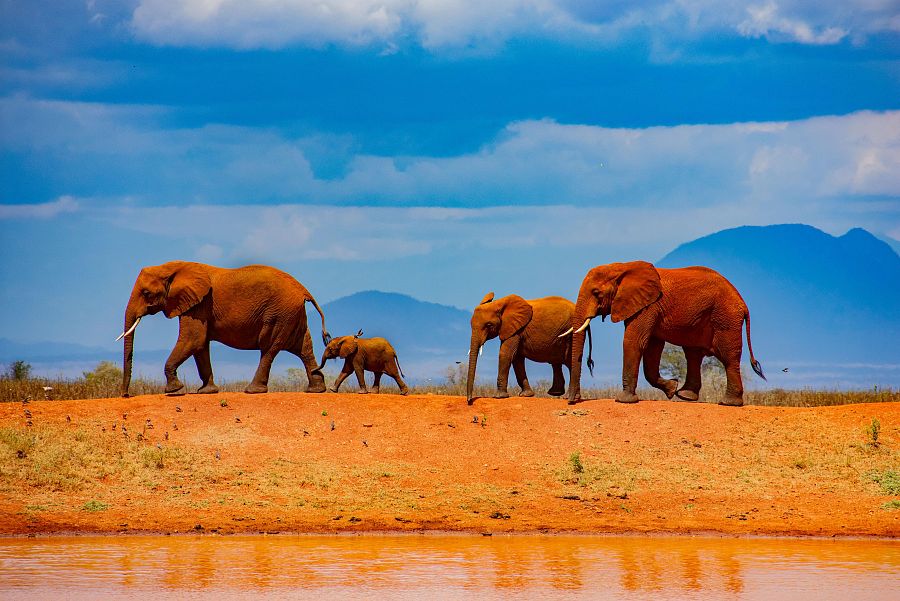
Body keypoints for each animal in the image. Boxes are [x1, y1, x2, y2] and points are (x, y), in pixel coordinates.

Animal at [117, 261, 331, 397]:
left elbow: (193, 340)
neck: (173, 268)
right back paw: (316, 390)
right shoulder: (198, 306)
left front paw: (174, 390)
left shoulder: (199, 305)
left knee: (269, 347)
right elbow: (200, 345)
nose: (125, 395)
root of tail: (302, 289)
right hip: (291, 313)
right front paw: (207, 392)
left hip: (279, 312)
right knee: (303, 347)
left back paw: (252, 391)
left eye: (146, 293)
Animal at [566, 261, 765, 407]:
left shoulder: (648, 306)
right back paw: (685, 396)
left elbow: (633, 341)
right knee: (693, 354)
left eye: (596, 292)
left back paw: (728, 403)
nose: (573, 400)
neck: (623, 267)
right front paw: (671, 388)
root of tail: (742, 302)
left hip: (726, 318)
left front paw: (623, 401)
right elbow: (652, 348)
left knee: (728, 356)